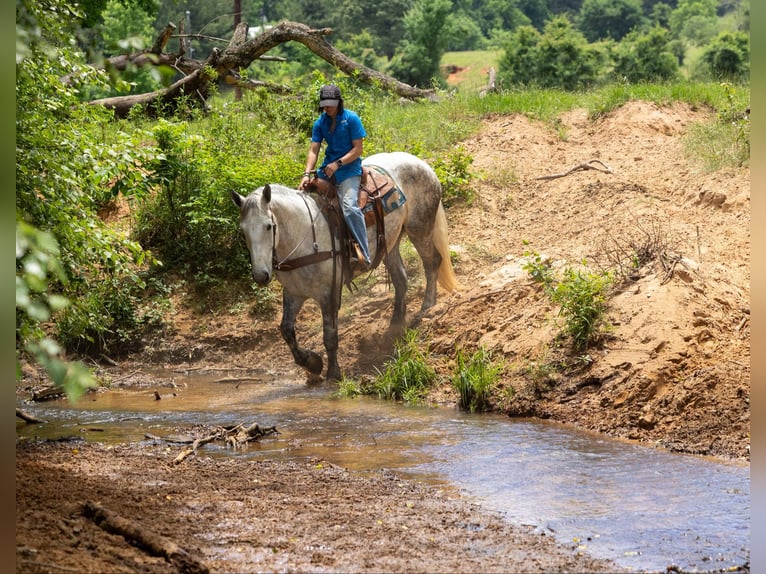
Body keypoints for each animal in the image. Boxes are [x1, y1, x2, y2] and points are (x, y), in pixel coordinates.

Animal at [231, 151, 458, 381]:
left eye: (269, 226)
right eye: (243, 230)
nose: (261, 275)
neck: (303, 233)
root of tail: (420, 162)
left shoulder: (328, 292)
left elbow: (330, 336)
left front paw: (333, 372)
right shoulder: (294, 292)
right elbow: (286, 331)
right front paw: (312, 363)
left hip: (419, 227)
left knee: (432, 262)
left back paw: (427, 305)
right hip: (390, 243)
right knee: (401, 279)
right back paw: (395, 325)